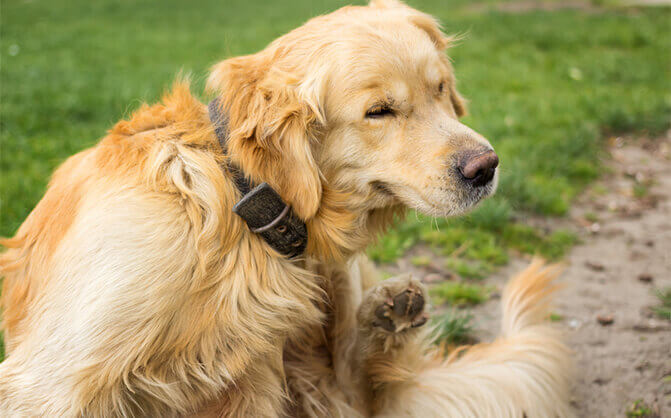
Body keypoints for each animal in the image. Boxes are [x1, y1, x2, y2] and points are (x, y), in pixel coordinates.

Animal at [0, 1, 572, 416]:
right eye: (379, 112)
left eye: (441, 90)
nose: (486, 167)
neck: (237, 196)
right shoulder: (52, 381)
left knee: (357, 390)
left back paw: (388, 315)